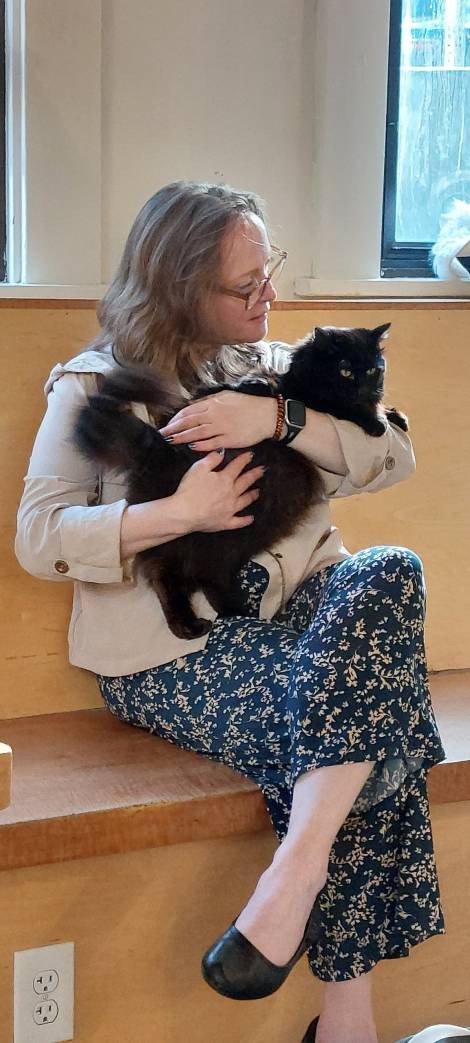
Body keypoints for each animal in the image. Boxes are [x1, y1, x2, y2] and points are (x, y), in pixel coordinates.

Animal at [73, 323, 408, 639]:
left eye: (374, 369)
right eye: (345, 370)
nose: (367, 387)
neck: (299, 379)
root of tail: (156, 447)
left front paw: (395, 416)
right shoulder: (311, 399)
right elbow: (341, 408)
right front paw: (376, 421)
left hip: (244, 531)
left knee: (196, 578)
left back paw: (227, 614)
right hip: (213, 532)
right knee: (171, 575)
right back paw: (201, 623)